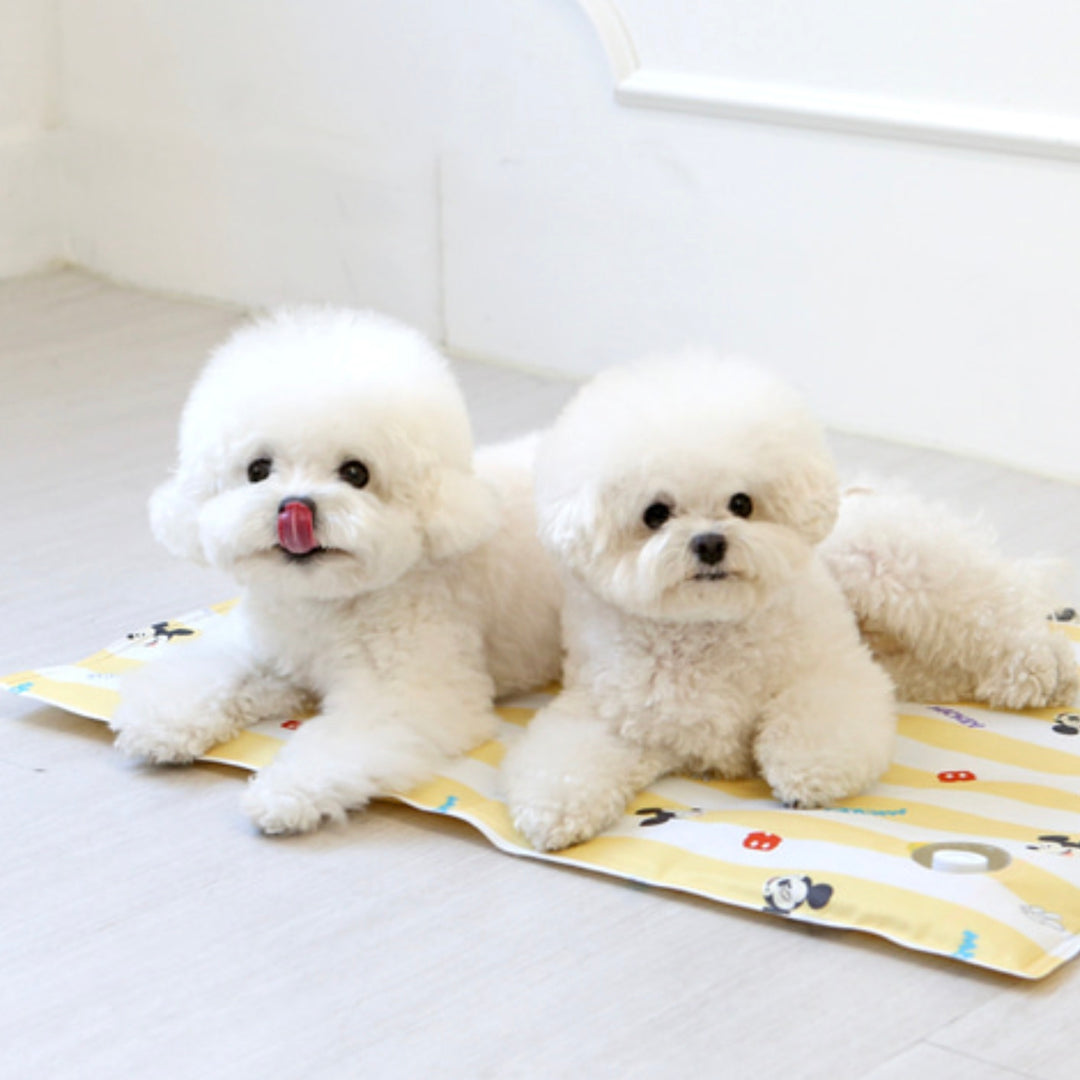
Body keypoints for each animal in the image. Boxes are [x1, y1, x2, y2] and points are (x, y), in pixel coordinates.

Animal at [109, 308, 561, 834]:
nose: (295, 508)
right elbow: (213, 673)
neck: (324, 605)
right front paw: (162, 720)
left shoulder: (408, 695)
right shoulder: (268, 648)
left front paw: (285, 792)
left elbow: (334, 747)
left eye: (355, 473)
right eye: (258, 469)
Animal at [500, 354, 899, 852]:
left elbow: (815, 718)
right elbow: (565, 762)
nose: (710, 543)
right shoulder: (602, 711)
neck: (705, 628)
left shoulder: (832, 671)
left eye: (742, 503)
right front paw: (552, 812)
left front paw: (805, 771)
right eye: (656, 514)